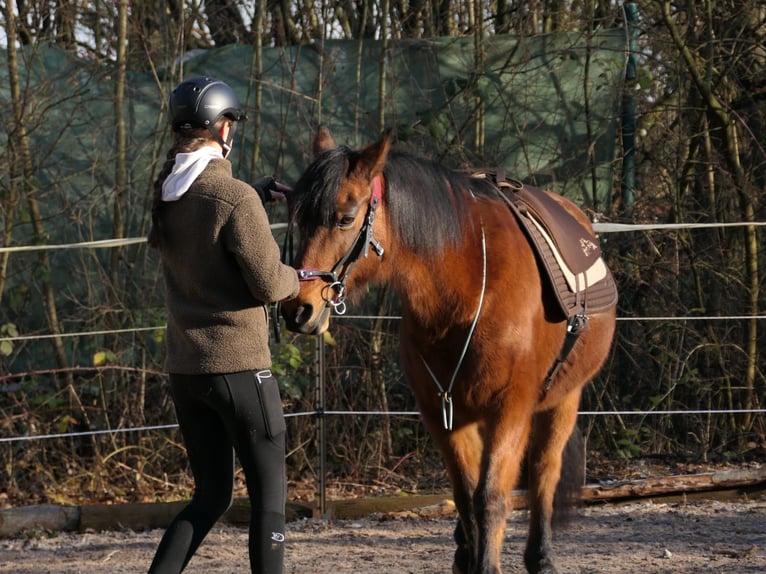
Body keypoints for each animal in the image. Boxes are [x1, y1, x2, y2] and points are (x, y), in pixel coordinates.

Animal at [282, 127, 616, 574]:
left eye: (346, 218)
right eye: (298, 216)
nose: (298, 309)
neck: (467, 289)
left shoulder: (511, 409)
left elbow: (490, 497)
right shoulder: (442, 413)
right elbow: (464, 496)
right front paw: (469, 555)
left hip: (563, 399)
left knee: (545, 471)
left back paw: (541, 557)